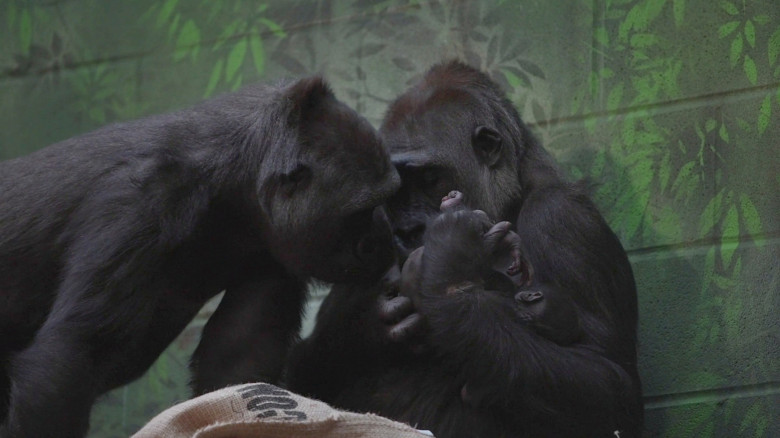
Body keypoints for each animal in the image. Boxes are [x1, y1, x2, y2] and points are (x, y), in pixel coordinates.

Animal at [0, 77, 400, 436]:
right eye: (361, 212)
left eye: (386, 200)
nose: (383, 241)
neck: (233, 172)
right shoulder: (142, 201)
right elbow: (73, 352)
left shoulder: (271, 244)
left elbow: (238, 369)